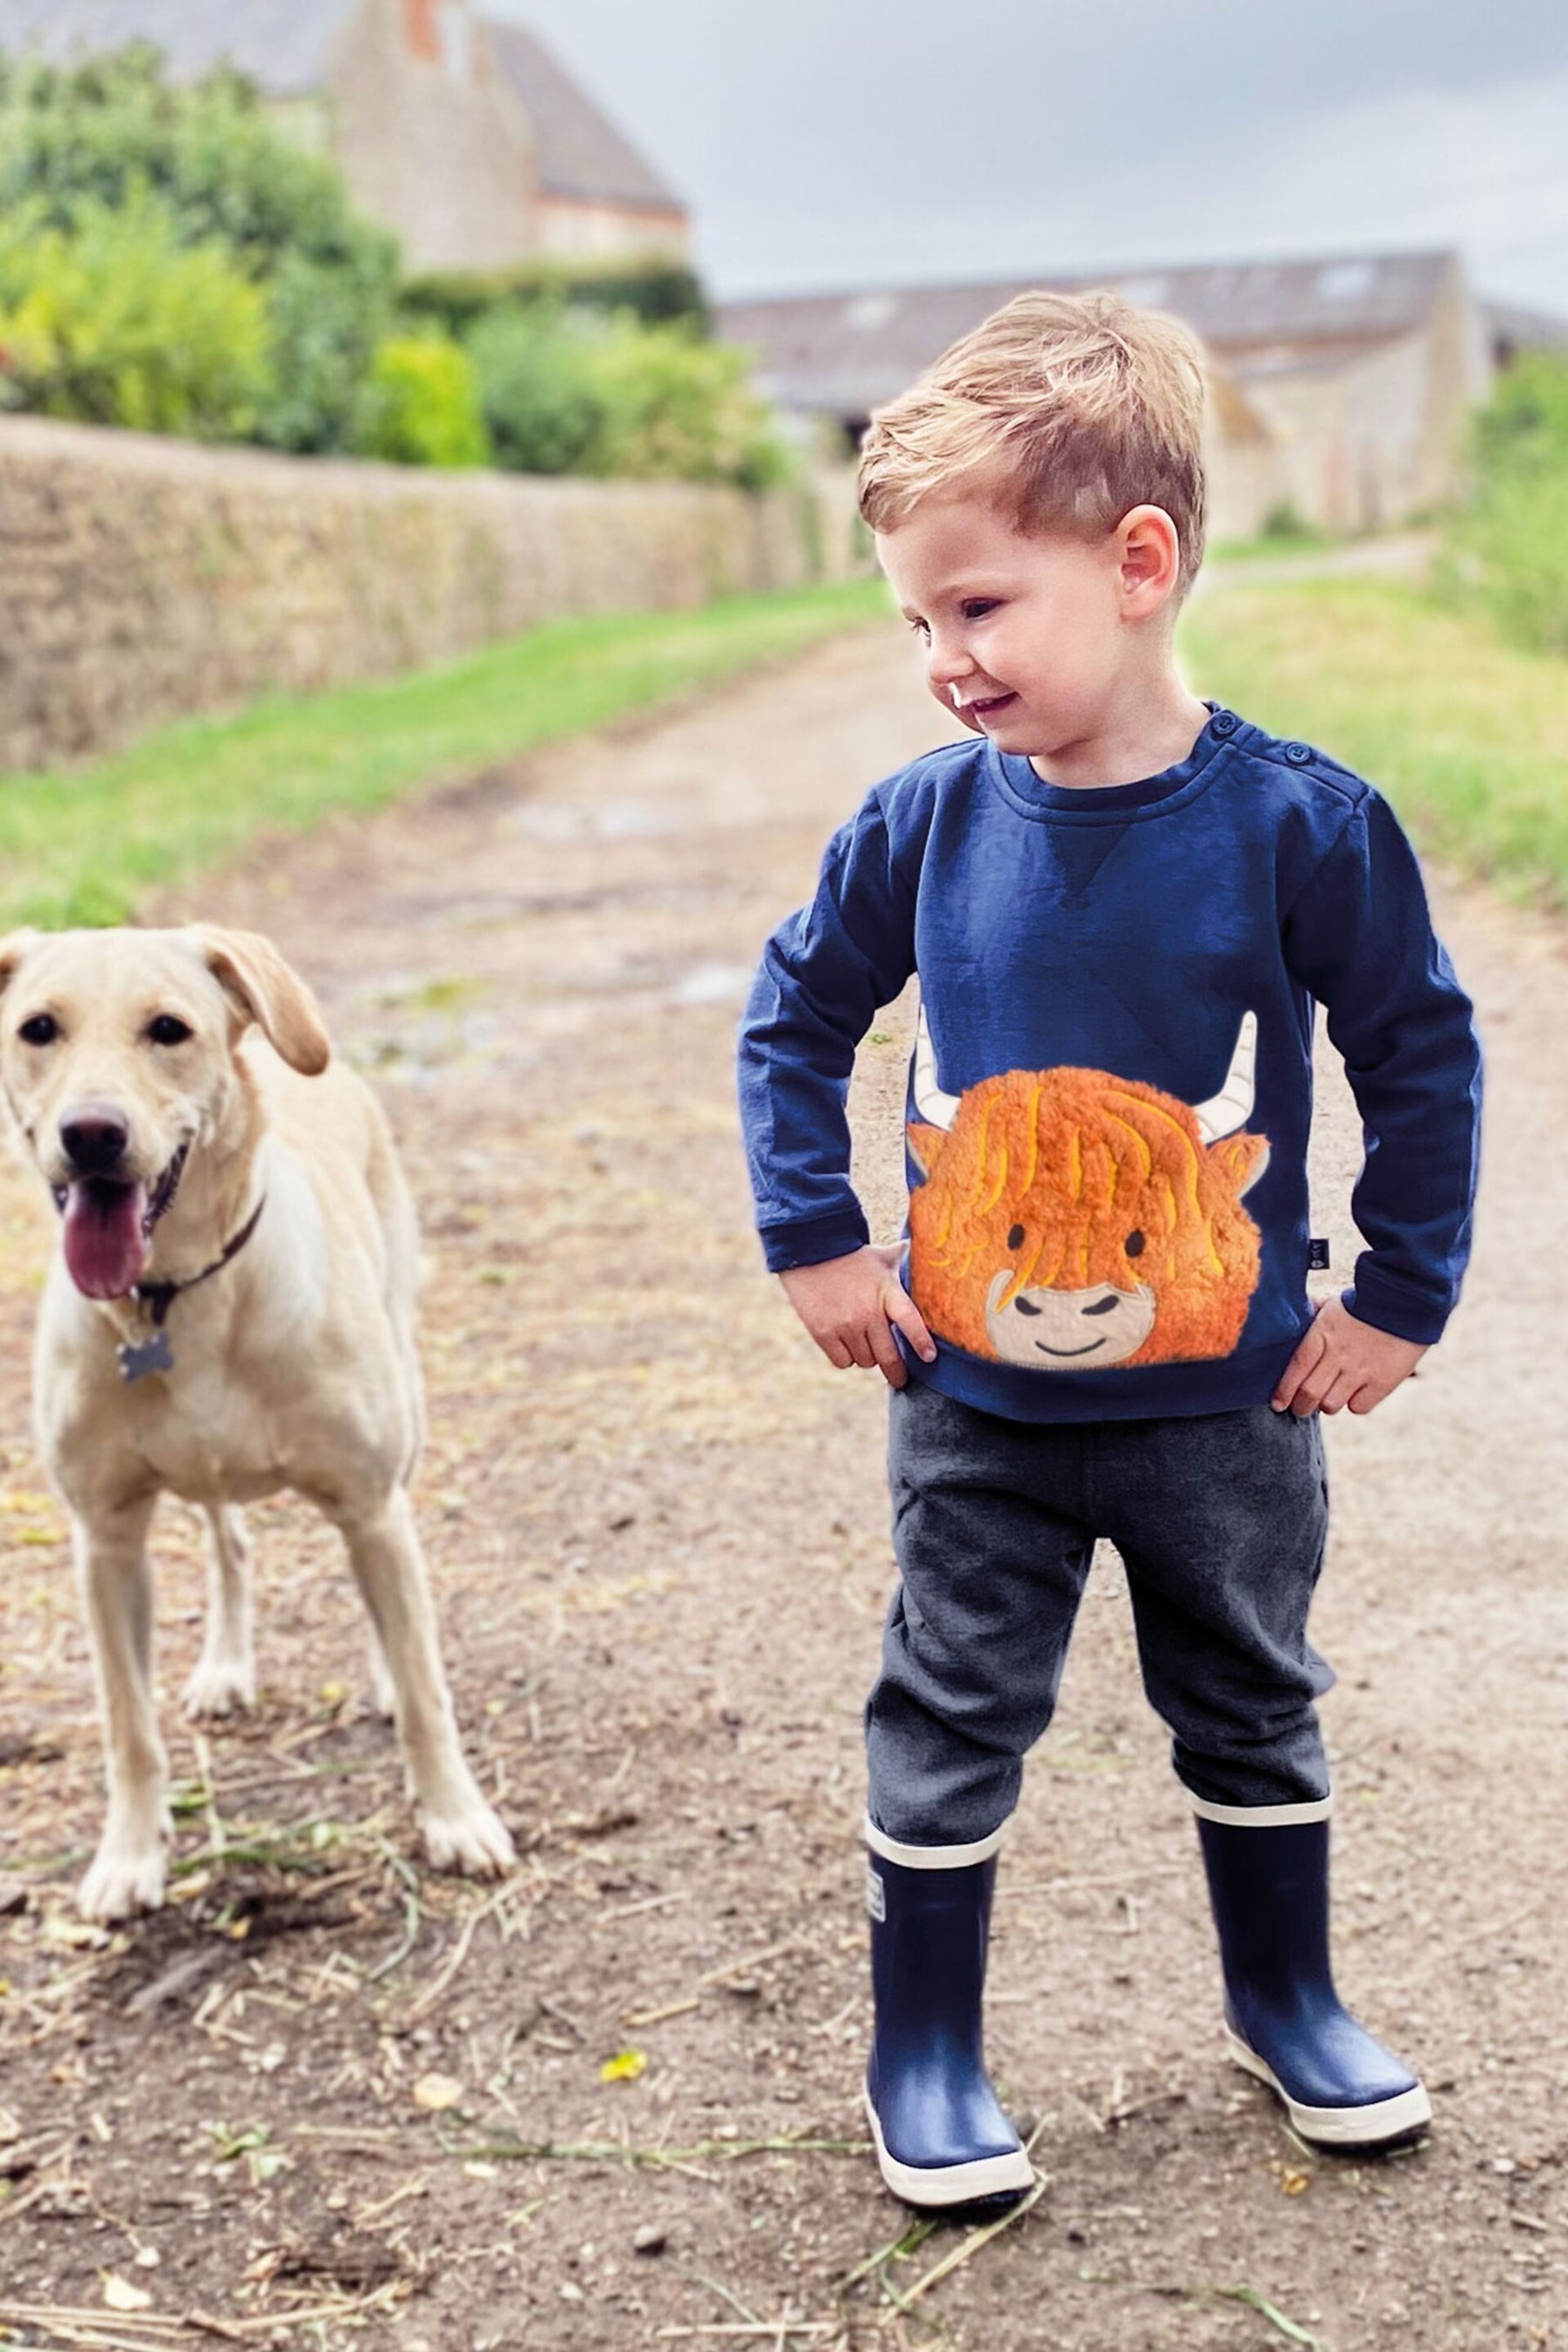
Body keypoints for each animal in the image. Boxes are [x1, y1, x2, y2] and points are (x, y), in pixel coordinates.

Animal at [0, 917, 517, 1909]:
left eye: (169, 1029)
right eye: (38, 1028)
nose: (92, 1134)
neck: (177, 1296)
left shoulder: (372, 1505)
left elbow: (427, 1693)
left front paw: (455, 1817)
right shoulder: (106, 1541)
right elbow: (128, 1724)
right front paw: (129, 1856)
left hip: (403, 1417)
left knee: (388, 1600)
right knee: (227, 1544)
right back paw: (226, 1667)